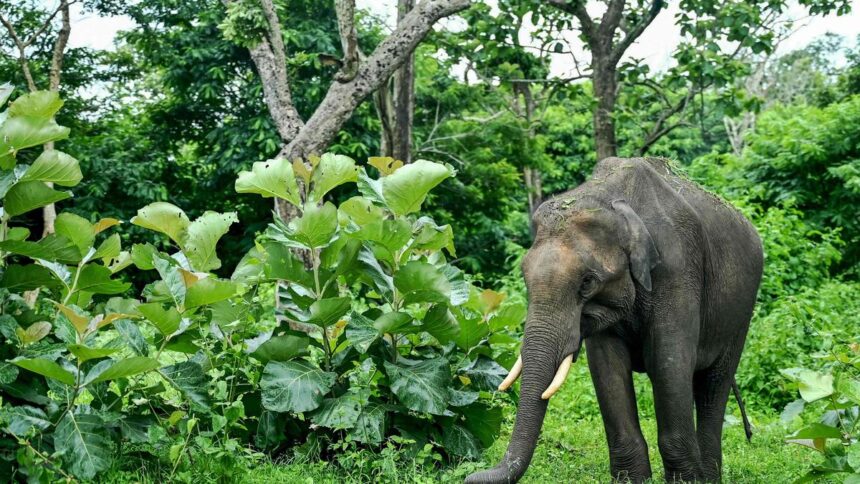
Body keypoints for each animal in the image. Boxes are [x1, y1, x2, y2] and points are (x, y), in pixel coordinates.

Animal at [466, 157, 763, 483]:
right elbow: (607, 366)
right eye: (523, 276)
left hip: (741, 312)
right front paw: (632, 479)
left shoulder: (678, 269)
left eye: (587, 283)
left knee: (714, 383)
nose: (471, 476)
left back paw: (708, 476)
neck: (613, 200)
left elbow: (668, 362)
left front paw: (687, 480)